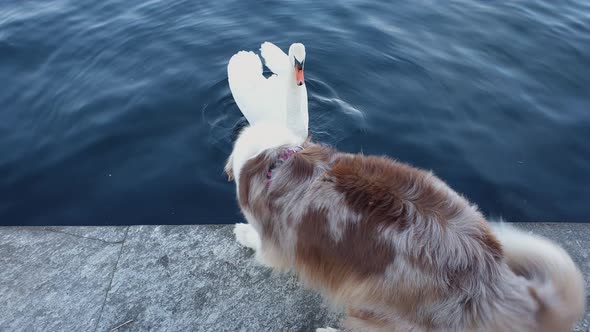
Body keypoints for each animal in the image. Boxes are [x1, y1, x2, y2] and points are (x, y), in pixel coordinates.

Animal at [225, 123, 588, 330]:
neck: (278, 158)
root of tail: (493, 277)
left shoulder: (275, 242)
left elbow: (261, 243)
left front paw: (243, 232)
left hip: (377, 306)